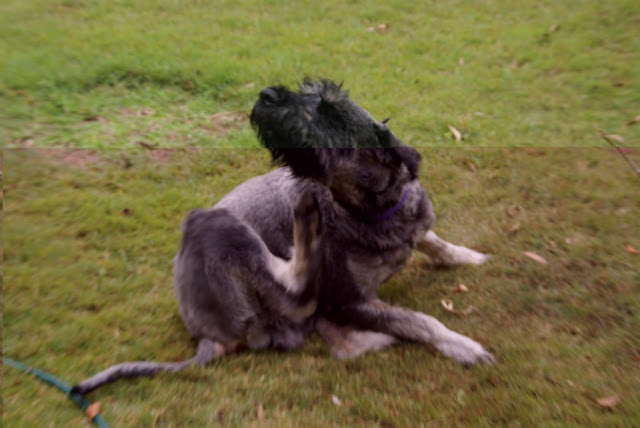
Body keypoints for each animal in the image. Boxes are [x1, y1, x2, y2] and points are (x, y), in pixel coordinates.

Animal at [72, 79, 493, 395]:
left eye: (331, 111)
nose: (266, 95)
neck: (372, 213)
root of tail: (209, 338)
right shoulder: (350, 300)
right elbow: (417, 320)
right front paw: (463, 346)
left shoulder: (413, 231)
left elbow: (434, 241)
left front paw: (468, 257)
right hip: (220, 228)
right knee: (301, 295)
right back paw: (306, 222)